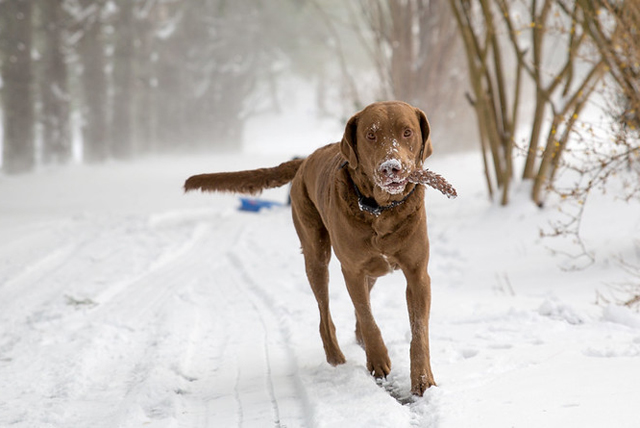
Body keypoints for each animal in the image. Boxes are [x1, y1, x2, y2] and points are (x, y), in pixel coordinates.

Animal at [185, 100, 436, 394]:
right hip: (316, 255)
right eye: (371, 135)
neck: (381, 210)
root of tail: (305, 160)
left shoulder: (417, 273)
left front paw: (423, 380)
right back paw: (336, 357)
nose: (390, 167)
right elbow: (367, 316)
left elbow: (418, 330)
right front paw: (378, 360)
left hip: (372, 268)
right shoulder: (352, 269)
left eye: (407, 132)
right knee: (324, 314)